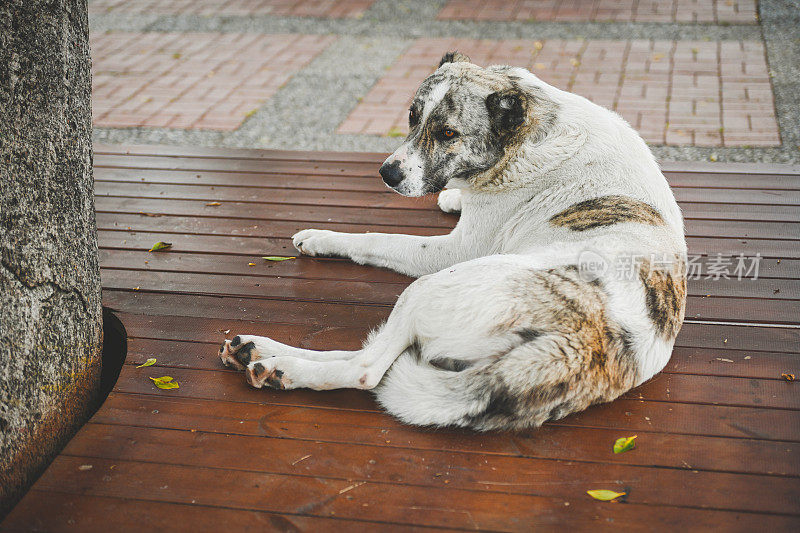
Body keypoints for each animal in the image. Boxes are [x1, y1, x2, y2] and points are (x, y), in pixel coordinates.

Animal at [220, 52, 688, 430]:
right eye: (412, 117)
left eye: (447, 134)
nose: (387, 174)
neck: (528, 131)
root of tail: (577, 349)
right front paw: (451, 197)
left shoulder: (455, 249)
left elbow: (375, 238)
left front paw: (324, 236)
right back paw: (257, 352)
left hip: (431, 286)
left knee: (366, 369)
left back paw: (282, 368)